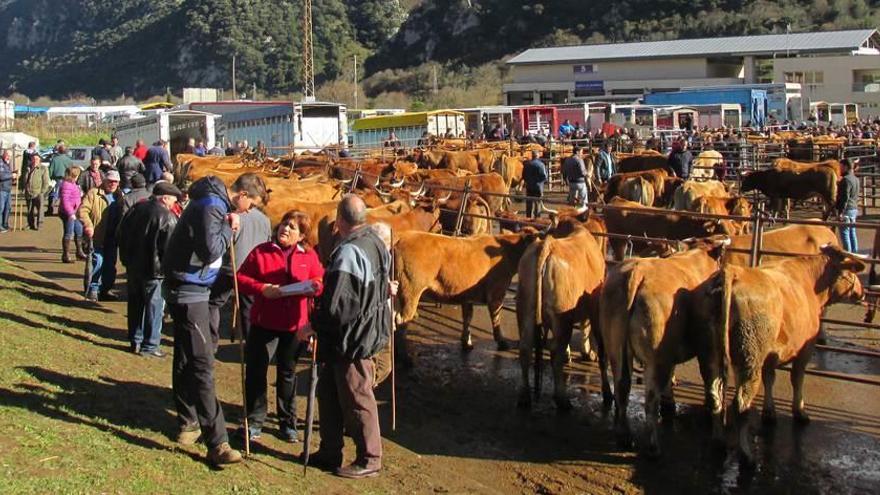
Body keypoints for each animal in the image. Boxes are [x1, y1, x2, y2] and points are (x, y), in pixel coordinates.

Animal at [396, 231, 540, 358]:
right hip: (410, 291)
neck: (506, 252)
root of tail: (400, 238)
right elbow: (496, 319)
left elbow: (467, 318)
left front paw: (467, 342)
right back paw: (405, 357)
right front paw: (502, 342)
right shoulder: (496, 293)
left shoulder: (467, 297)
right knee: (401, 321)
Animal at [512, 220, 608, 410]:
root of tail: (547, 245)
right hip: (562, 315)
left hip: (525, 310)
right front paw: (588, 353)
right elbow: (588, 331)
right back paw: (562, 399)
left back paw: (524, 396)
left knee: (525, 349)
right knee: (555, 352)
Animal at [600, 238, 728, 456]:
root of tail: (635, 274)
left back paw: (624, 435)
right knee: (651, 399)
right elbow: (713, 392)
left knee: (622, 387)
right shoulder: (710, 349)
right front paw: (719, 441)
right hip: (656, 358)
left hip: (616, 349)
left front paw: (670, 404)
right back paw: (653, 446)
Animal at [700, 246, 868, 464]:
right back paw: (747, 455)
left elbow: (770, 378)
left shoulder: (771, 354)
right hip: (750, 357)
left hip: (712, 354)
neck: (811, 282)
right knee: (741, 404)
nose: (862, 292)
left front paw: (769, 412)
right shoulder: (805, 349)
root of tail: (734, 272)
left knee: (715, 395)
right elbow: (797, 379)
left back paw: (718, 441)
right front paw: (800, 412)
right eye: (851, 272)